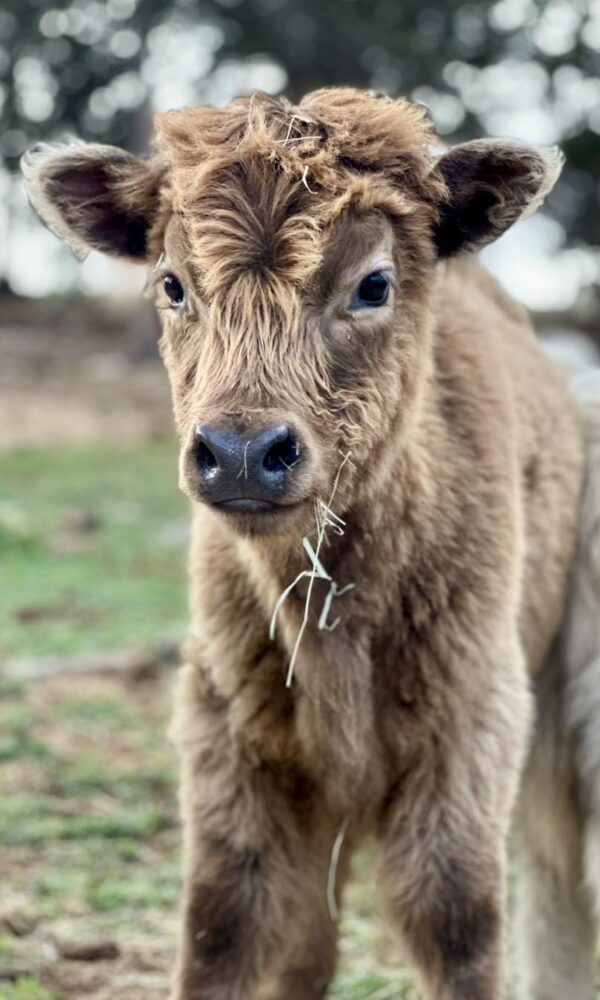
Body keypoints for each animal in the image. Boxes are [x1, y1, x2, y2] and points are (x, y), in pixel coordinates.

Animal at [22, 88, 585, 1000]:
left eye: (374, 284)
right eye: (173, 284)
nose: (243, 451)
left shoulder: (472, 727)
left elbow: (457, 920)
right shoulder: (230, 742)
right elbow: (224, 927)